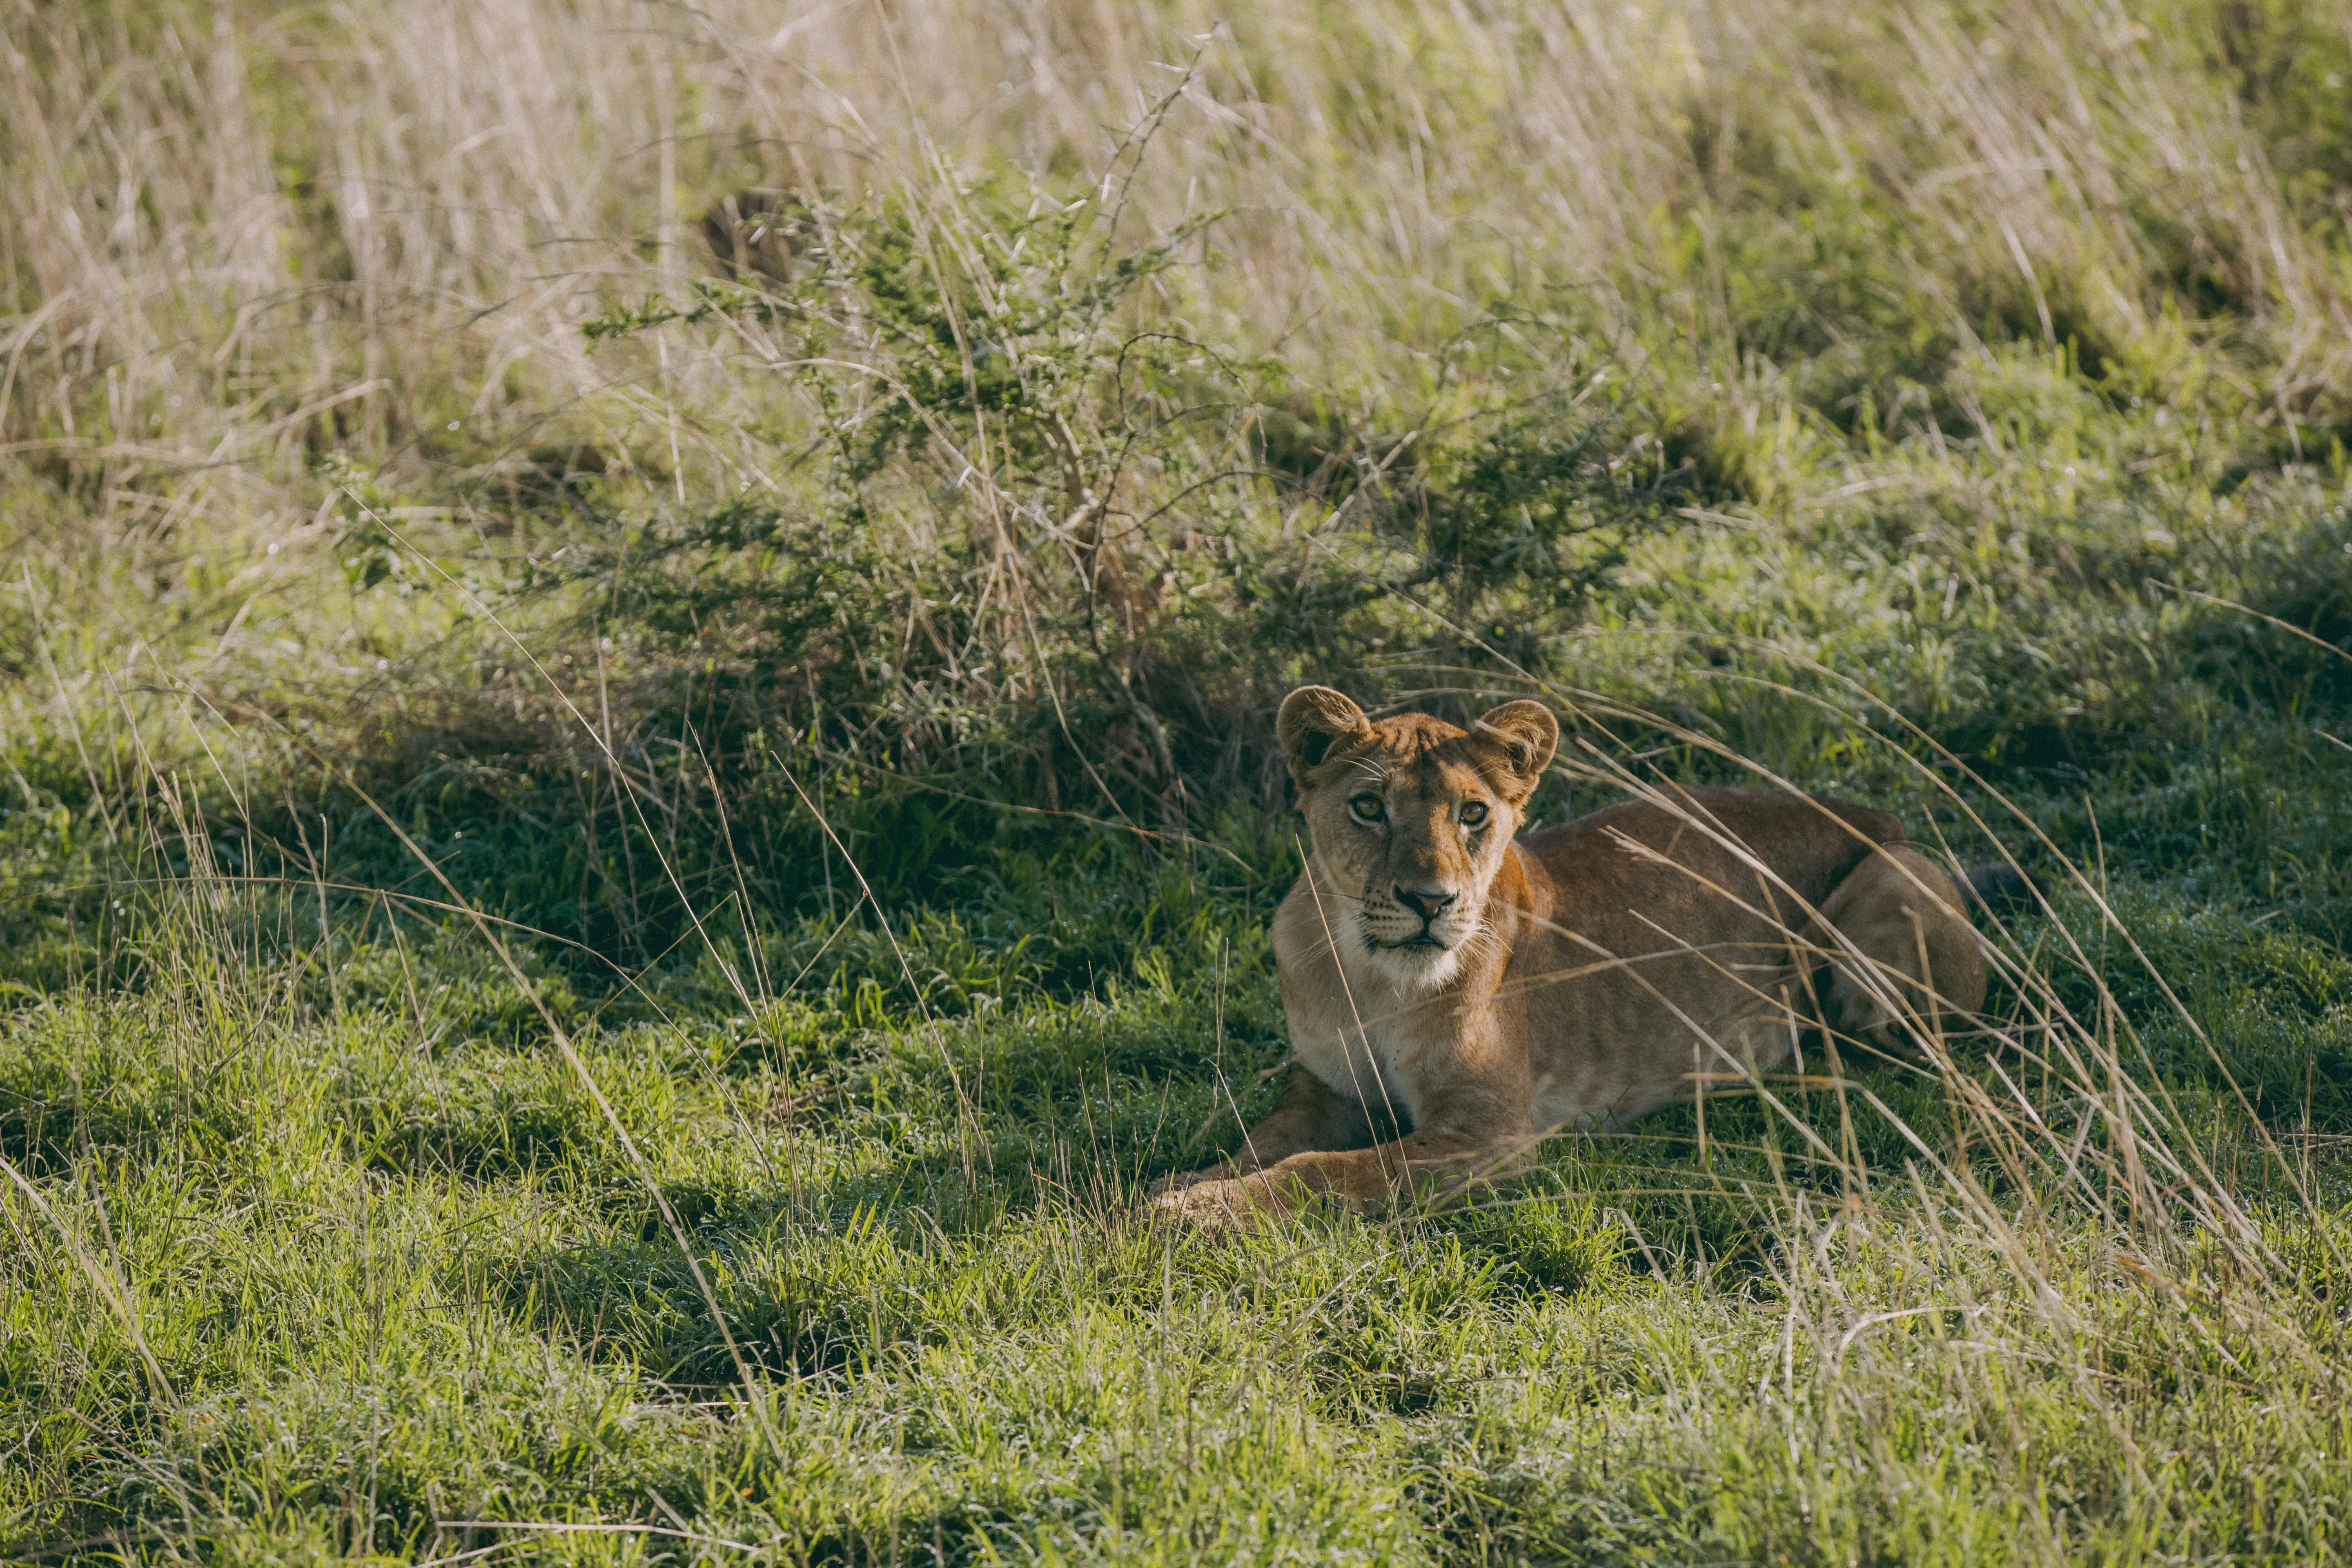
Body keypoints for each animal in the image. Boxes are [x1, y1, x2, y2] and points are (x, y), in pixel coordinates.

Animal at [1147, 686, 1994, 1222]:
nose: (1431, 902)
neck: (1372, 978)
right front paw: (1179, 1187)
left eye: (1473, 815)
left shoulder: (1489, 1134)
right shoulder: (1325, 1091)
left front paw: (1189, 1213)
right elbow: (1261, 1146)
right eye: (1367, 807)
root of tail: (1875, 812)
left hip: (1892, 883)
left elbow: (1328, 1170)